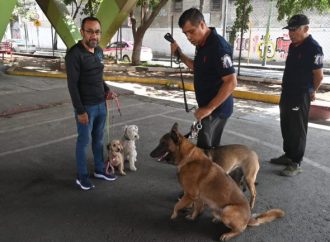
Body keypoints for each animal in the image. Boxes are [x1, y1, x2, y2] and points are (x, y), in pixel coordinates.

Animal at [150, 123, 284, 240]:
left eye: (163, 144)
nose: (150, 154)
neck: (187, 158)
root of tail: (249, 218)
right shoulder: (197, 197)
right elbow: (196, 208)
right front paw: (192, 216)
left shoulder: (190, 194)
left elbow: (177, 205)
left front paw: (173, 215)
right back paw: (217, 219)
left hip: (230, 206)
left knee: (241, 229)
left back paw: (228, 234)